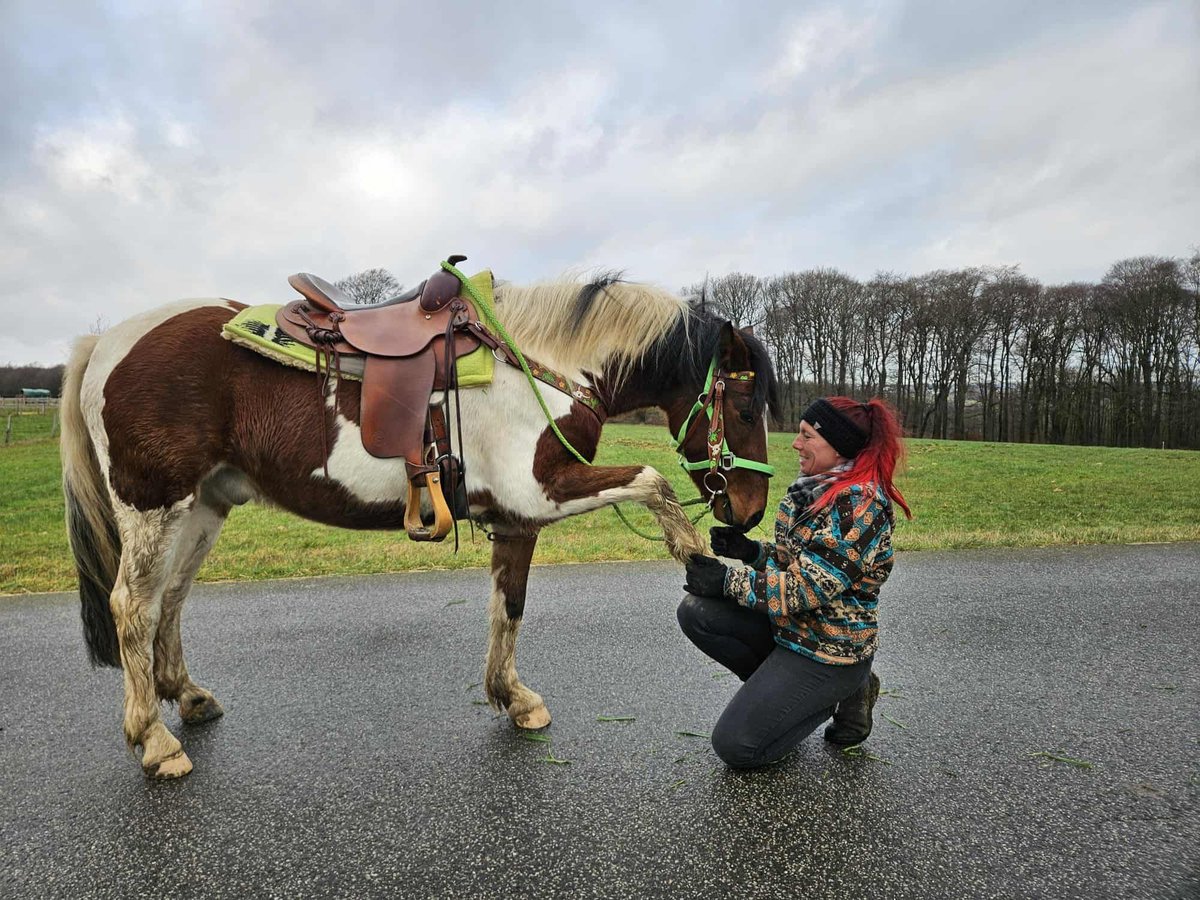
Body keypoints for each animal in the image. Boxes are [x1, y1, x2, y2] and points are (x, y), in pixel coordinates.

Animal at [59, 267, 780, 778]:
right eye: (746, 410)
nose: (749, 511)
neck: (540, 365)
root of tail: (107, 342)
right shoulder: (541, 493)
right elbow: (653, 482)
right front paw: (695, 554)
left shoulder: (518, 519)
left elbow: (508, 606)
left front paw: (511, 697)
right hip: (154, 506)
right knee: (134, 606)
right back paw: (155, 741)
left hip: (203, 508)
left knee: (171, 599)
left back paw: (187, 697)